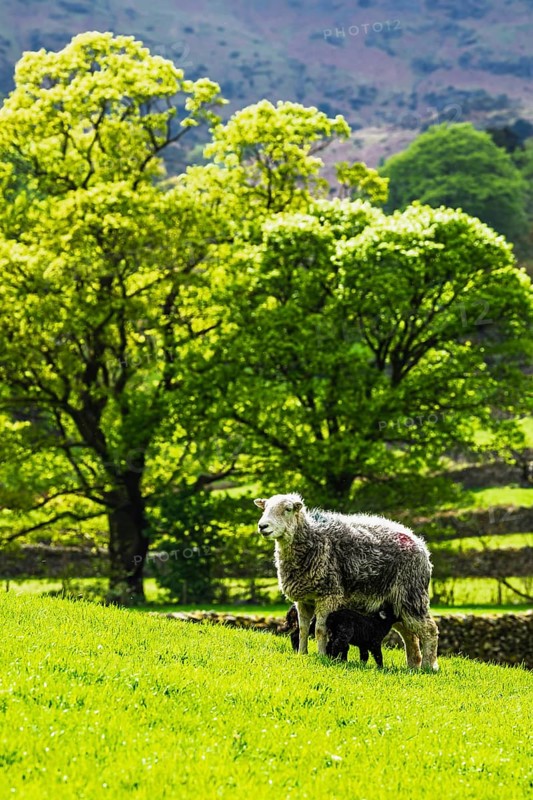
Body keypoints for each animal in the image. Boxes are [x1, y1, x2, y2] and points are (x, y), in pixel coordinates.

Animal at [254, 493, 439, 670]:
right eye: (265, 507)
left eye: (288, 509)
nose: (262, 526)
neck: (313, 538)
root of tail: (421, 544)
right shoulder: (304, 599)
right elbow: (303, 629)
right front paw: (302, 654)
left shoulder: (329, 595)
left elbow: (320, 630)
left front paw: (321, 656)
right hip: (395, 604)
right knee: (410, 635)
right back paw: (413, 666)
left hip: (411, 595)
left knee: (429, 630)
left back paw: (428, 667)